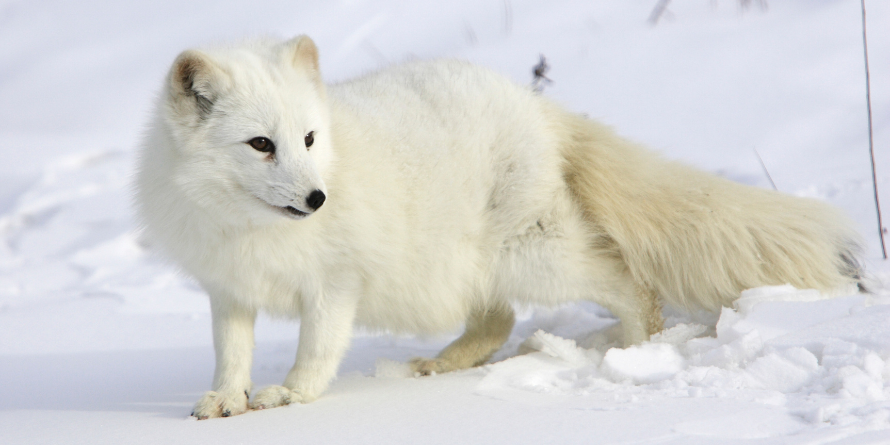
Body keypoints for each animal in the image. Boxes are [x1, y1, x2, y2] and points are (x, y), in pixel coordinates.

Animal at [137, 33, 860, 416]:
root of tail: (537, 108)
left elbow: (316, 350)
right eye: (261, 144)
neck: (248, 226)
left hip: (534, 255)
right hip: (465, 270)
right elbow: (230, 355)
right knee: (498, 319)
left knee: (625, 279)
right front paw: (224, 401)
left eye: (310, 138)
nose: (318, 198)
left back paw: (636, 349)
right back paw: (439, 364)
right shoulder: (228, 290)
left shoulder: (335, 285)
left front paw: (289, 395)